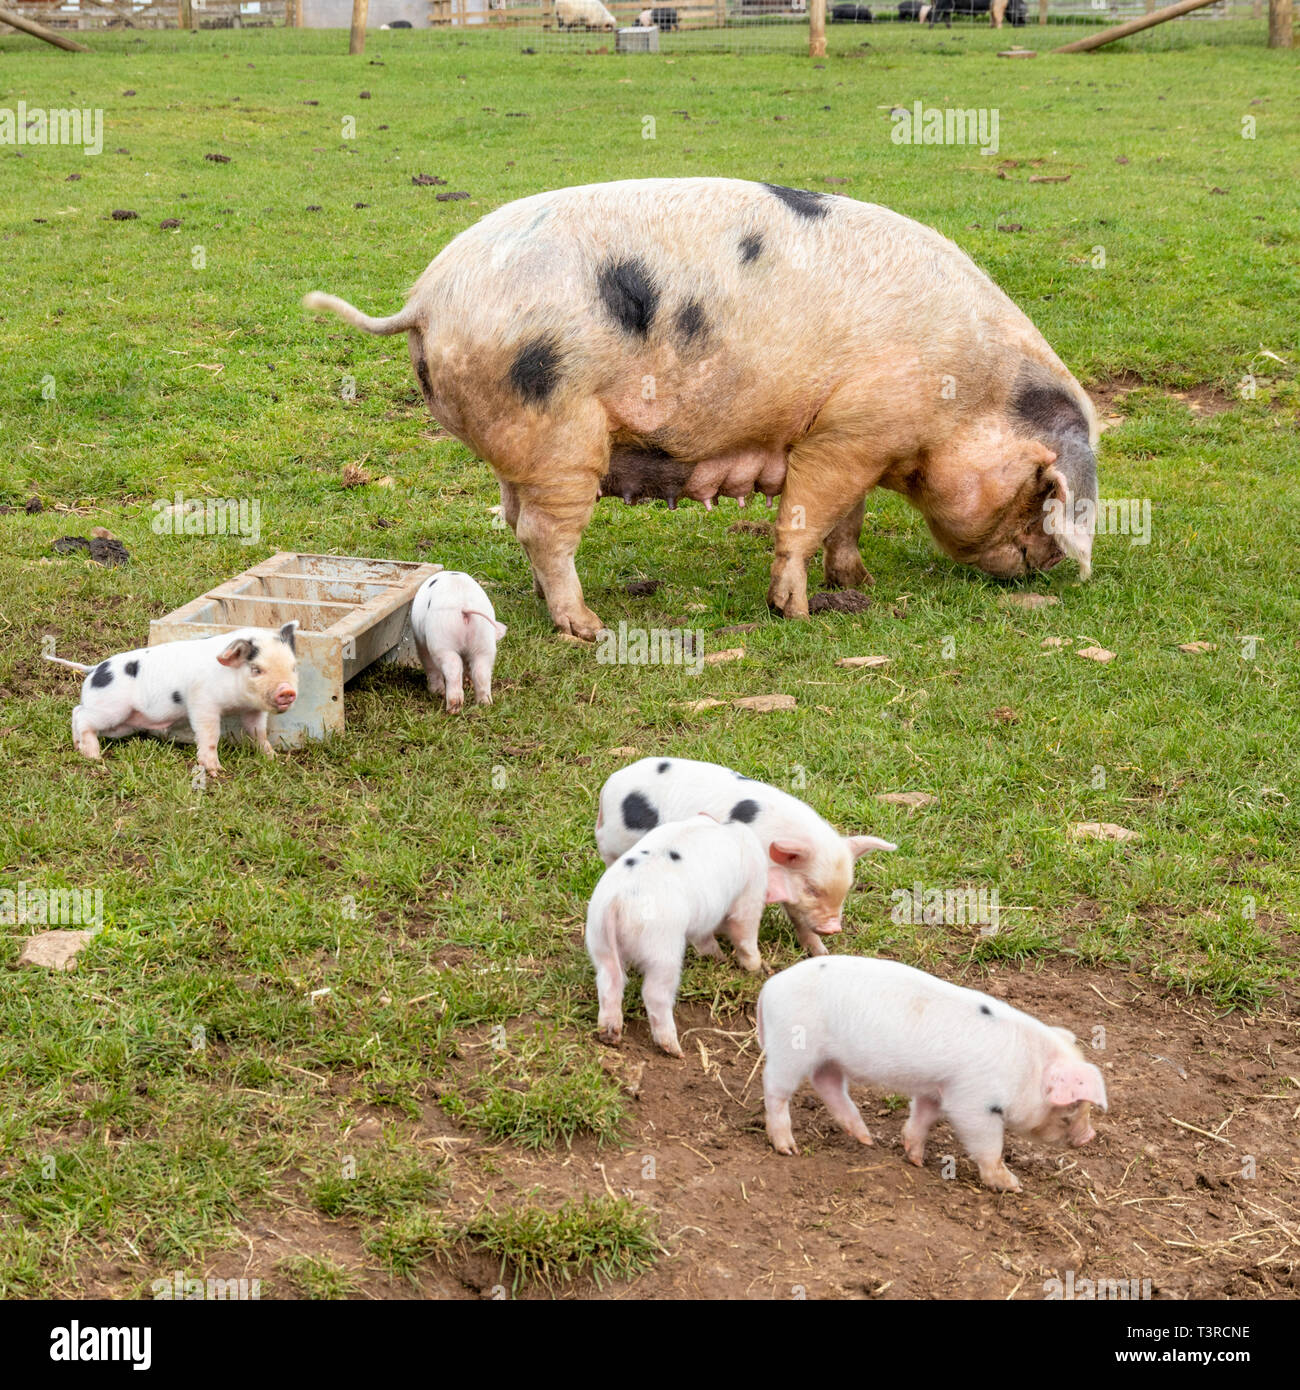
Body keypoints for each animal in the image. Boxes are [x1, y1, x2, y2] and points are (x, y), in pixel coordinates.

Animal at [304, 176, 1095, 636]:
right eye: (1042, 490)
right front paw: (794, 612)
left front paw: (858, 584)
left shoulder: (858, 437)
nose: (1044, 567)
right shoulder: (849, 431)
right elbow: (806, 513)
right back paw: (587, 626)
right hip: (562, 431)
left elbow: (848, 517)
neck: (970, 391)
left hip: (523, 442)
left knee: (514, 516)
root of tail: (424, 301)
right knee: (544, 532)